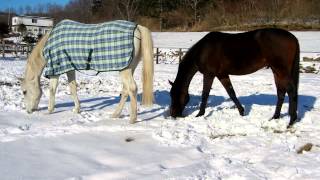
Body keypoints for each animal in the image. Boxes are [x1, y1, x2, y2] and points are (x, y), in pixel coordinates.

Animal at [19, 24, 154, 124]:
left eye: (24, 92)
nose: (29, 111)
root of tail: (137, 28)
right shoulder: (70, 68)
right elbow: (73, 88)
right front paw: (77, 109)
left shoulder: (56, 69)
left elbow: (52, 89)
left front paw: (49, 111)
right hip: (130, 68)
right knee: (126, 90)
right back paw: (115, 115)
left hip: (125, 70)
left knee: (132, 88)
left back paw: (132, 119)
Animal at [170, 28, 300, 126]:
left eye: (175, 95)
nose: (172, 114)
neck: (203, 50)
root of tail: (293, 37)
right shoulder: (222, 75)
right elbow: (231, 92)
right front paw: (241, 112)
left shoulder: (209, 74)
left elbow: (205, 94)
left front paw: (200, 114)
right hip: (276, 71)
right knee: (281, 92)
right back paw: (275, 117)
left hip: (281, 70)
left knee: (291, 90)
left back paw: (291, 120)